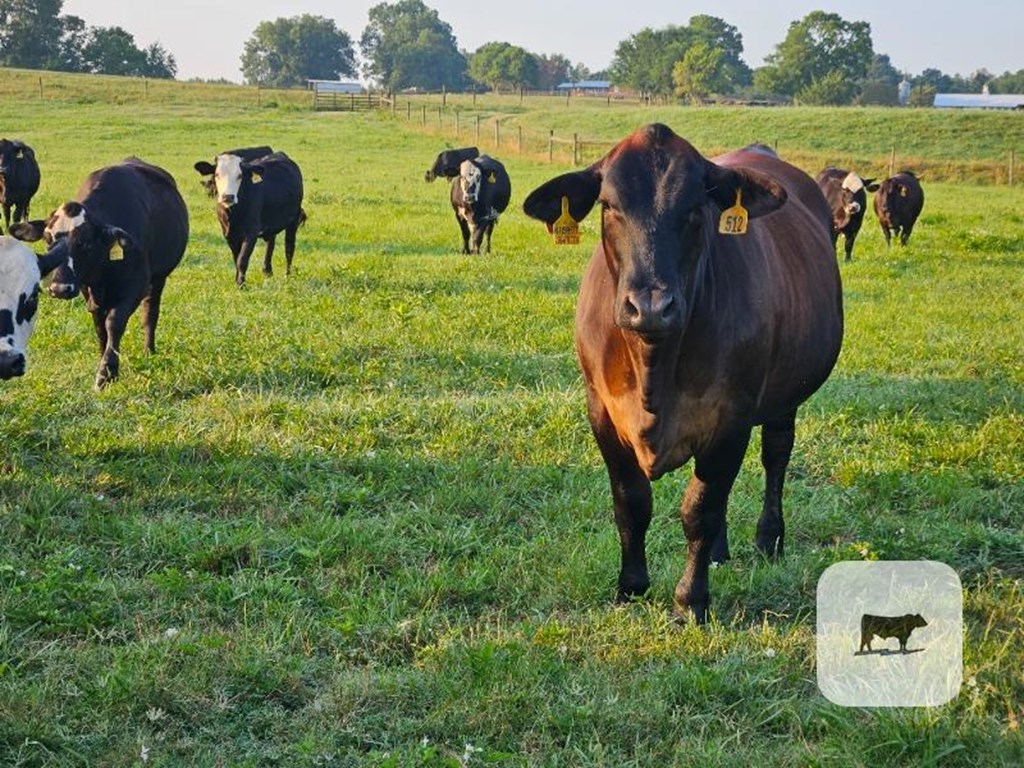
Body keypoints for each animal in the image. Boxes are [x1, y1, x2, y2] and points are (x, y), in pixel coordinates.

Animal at [11, 157, 190, 391]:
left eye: (86, 243)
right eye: (48, 239)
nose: (59, 288)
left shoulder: (135, 286)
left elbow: (113, 323)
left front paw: (106, 373)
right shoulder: (87, 289)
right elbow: (99, 325)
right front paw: (102, 357)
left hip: (158, 278)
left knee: (150, 313)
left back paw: (148, 351)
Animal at [192, 150, 303, 286]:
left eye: (240, 176)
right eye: (217, 174)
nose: (228, 197)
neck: (233, 215)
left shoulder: (251, 233)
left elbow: (242, 259)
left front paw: (241, 284)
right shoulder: (228, 234)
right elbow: (236, 258)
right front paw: (237, 280)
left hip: (294, 219)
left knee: (289, 248)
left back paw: (288, 275)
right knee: (271, 243)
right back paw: (267, 271)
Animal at [524, 121, 843, 626]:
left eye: (696, 207)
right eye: (609, 205)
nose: (650, 305)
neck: (654, 368)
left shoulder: (731, 418)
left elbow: (700, 508)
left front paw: (690, 599)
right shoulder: (601, 411)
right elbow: (631, 503)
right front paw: (631, 586)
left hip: (784, 397)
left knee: (776, 456)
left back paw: (768, 537)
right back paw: (720, 552)